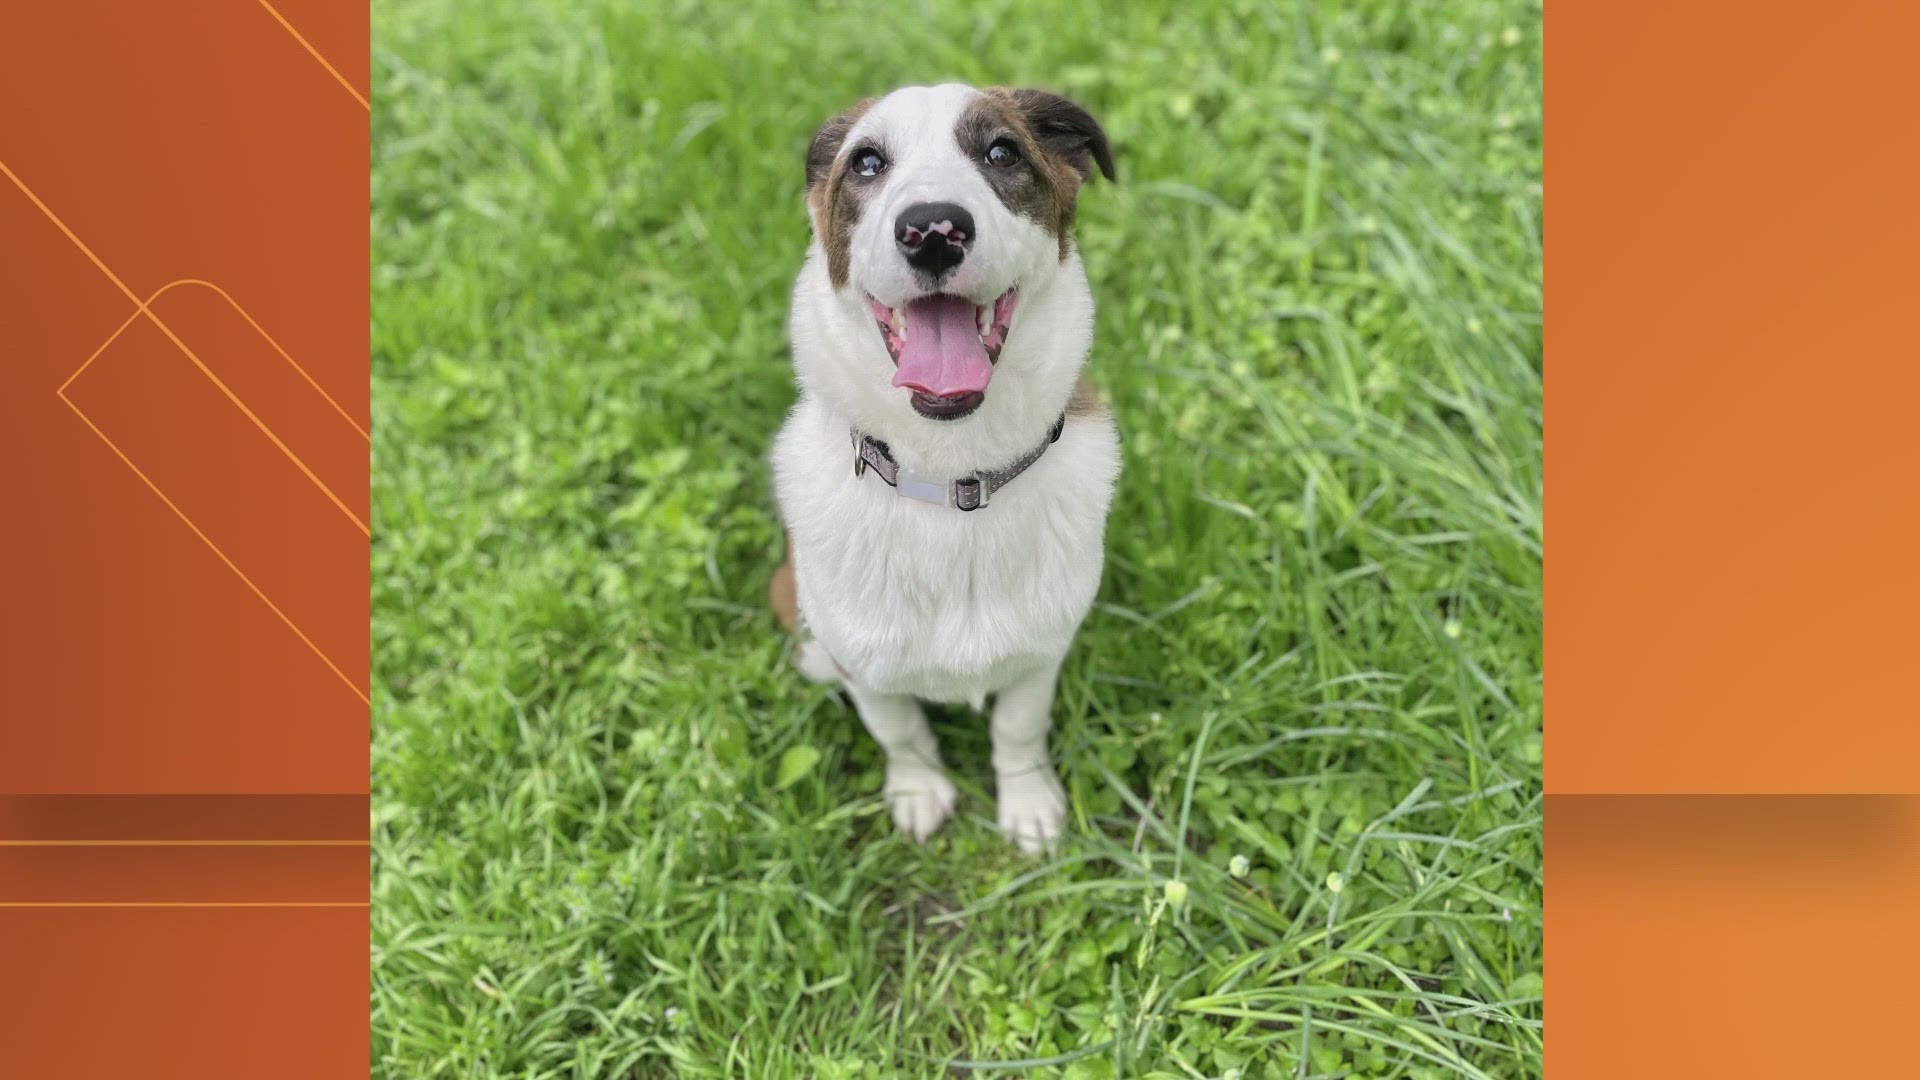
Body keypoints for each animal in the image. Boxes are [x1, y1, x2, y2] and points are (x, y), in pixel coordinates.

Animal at [768, 82, 1121, 849]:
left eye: (1003, 152)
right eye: (867, 163)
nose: (932, 230)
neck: (952, 477)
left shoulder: (1041, 654)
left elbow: (1018, 730)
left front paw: (1027, 803)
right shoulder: (862, 666)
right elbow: (899, 731)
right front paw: (918, 789)